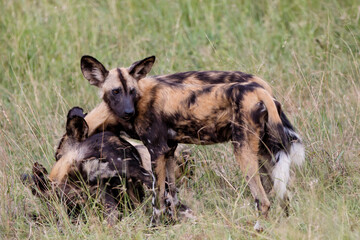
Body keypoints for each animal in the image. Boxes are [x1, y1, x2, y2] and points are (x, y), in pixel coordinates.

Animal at [80, 55, 306, 228]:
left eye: (132, 91)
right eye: (115, 91)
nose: (128, 111)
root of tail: (261, 90)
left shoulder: (156, 152)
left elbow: (157, 199)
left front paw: (154, 227)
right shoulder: (169, 151)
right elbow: (171, 195)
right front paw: (173, 223)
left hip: (243, 152)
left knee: (264, 200)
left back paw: (258, 228)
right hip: (266, 152)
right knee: (282, 195)